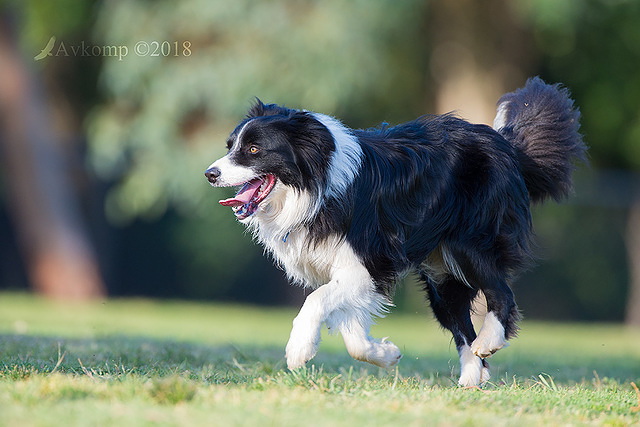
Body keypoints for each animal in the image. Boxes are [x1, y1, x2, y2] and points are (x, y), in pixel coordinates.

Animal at [204, 77, 584, 388]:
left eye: (254, 150)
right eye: (230, 145)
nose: (210, 173)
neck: (315, 185)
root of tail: (507, 146)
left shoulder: (370, 261)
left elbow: (316, 300)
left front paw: (299, 350)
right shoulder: (348, 271)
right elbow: (353, 334)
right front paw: (387, 354)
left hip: (469, 243)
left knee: (502, 294)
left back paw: (488, 343)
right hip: (441, 276)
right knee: (461, 323)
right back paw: (470, 379)